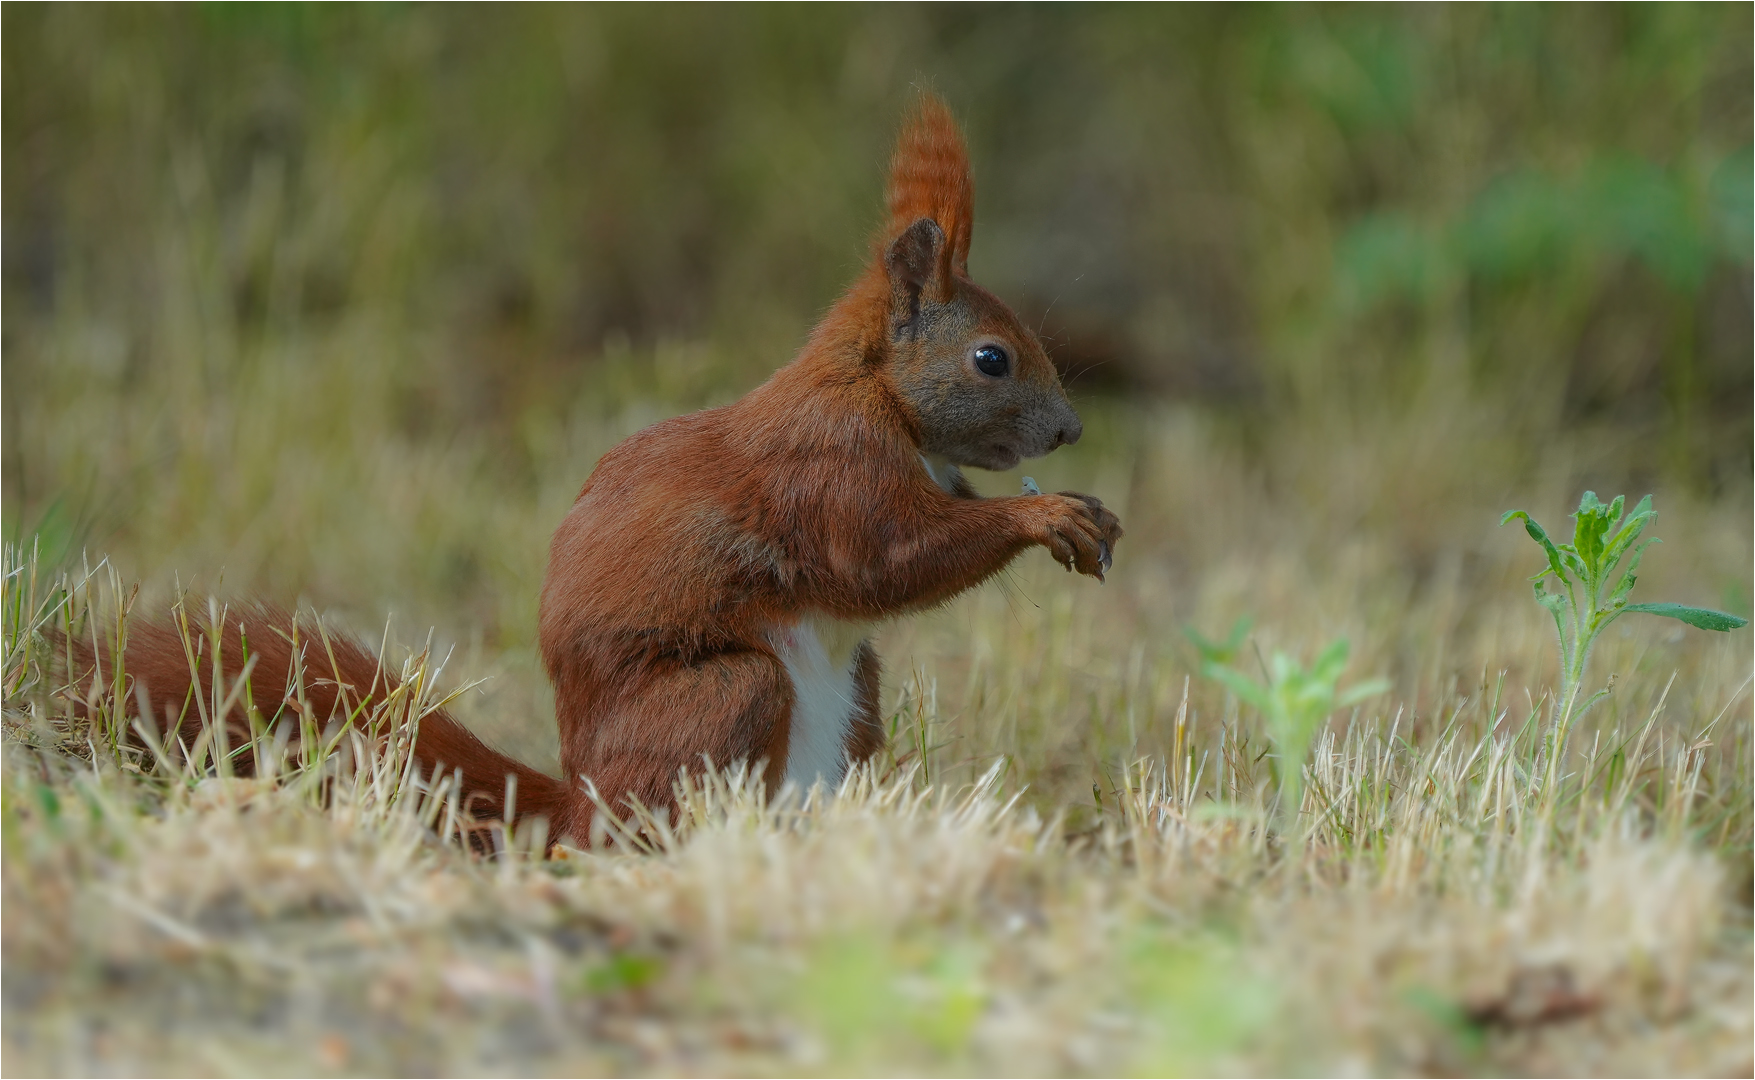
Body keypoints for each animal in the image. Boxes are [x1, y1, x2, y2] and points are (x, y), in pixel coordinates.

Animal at [68, 95, 1123, 846]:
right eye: (990, 359)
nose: (1070, 429)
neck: (874, 395)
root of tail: (573, 802)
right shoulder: (829, 467)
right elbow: (886, 561)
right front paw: (1047, 519)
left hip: (854, 697)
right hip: (717, 699)